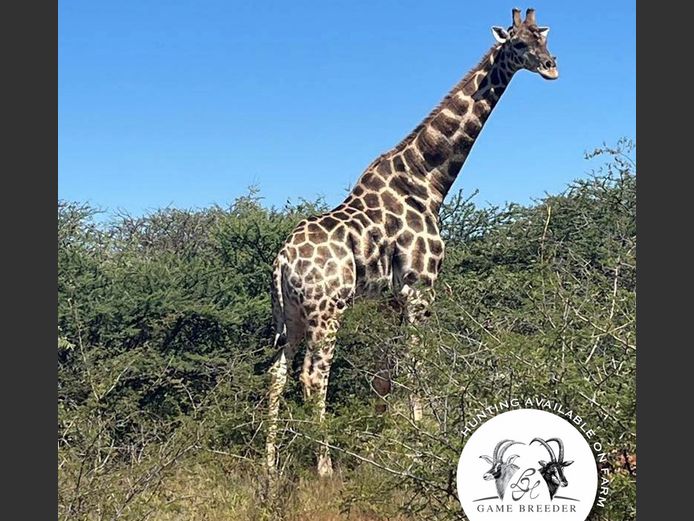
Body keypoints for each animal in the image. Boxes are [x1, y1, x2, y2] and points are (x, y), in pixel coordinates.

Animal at [265, 8, 558, 480]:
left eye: (543, 37)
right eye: (518, 43)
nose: (551, 67)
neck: (427, 180)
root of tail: (281, 261)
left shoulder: (389, 298)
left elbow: (386, 373)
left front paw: (381, 445)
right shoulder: (420, 288)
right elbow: (418, 363)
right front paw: (421, 444)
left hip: (286, 315)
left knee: (276, 374)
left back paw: (269, 465)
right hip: (326, 310)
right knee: (313, 376)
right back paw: (324, 467)